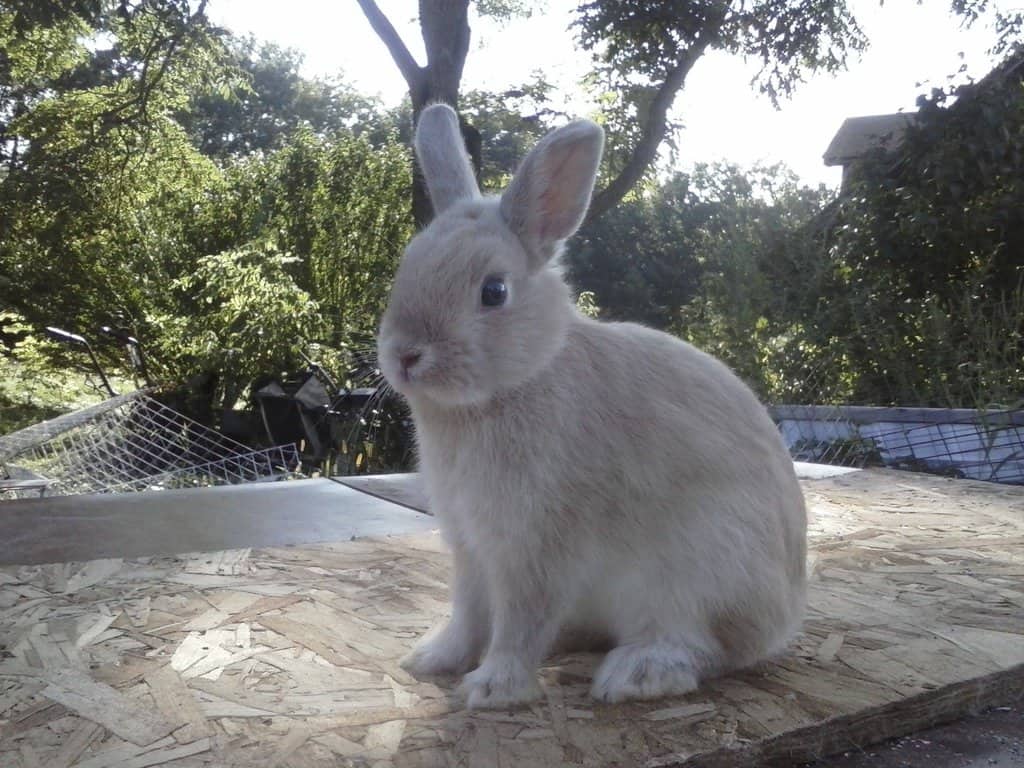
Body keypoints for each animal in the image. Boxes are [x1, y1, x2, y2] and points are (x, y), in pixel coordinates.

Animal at [376, 105, 806, 712]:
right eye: (405, 268)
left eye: (493, 291)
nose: (405, 355)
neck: (519, 382)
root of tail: (787, 612)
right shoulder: (470, 545)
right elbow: (469, 612)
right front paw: (432, 659)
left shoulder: (539, 547)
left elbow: (520, 622)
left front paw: (492, 688)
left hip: (701, 570)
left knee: (704, 645)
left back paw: (637, 673)